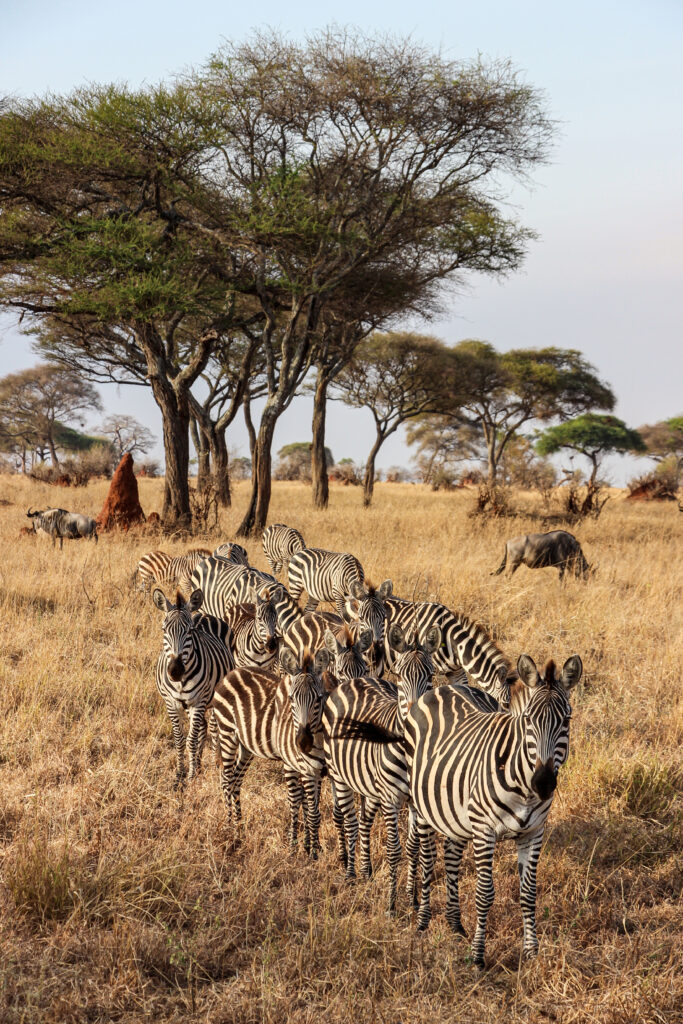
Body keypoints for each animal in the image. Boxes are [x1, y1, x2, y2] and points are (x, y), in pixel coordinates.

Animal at [151, 589, 232, 786]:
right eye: (164, 630)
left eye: (189, 631)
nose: (175, 670)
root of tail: (203, 614)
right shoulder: (171, 703)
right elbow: (180, 740)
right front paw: (180, 774)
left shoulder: (199, 701)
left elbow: (191, 740)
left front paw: (191, 775)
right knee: (203, 727)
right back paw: (200, 763)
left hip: (213, 698)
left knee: (213, 728)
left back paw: (215, 762)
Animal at [211, 647, 331, 856]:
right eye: (291, 699)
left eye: (319, 699)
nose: (302, 742)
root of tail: (231, 673)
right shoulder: (300, 766)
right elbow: (307, 808)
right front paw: (304, 851)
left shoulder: (316, 770)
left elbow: (309, 807)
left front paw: (309, 846)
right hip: (227, 734)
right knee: (226, 780)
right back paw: (229, 827)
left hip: (246, 746)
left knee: (235, 781)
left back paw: (240, 830)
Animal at [323, 618, 440, 917]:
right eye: (399, 676)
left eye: (431, 675)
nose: (417, 716)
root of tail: (355, 681)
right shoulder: (391, 798)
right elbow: (394, 849)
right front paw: (391, 905)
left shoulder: (414, 801)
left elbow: (413, 848)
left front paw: (413, 898)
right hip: (340, 776)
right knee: (350, 821)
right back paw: (351, 872)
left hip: (368, 783)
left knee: (364, 821)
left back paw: (365, 870)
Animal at [403, 655, 585, 966]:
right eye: (528, 720)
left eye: (566, 721)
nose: (543, 782)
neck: (525, 790)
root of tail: (444, 688)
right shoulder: (484, 829)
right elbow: (485, 893)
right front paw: (478, 955)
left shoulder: (534, 832)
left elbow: (528, 892)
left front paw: (532, 951)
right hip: (424, 806)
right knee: (426, 859)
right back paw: (423, 921)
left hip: (456, 814)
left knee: (451, 856)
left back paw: (455, 925)